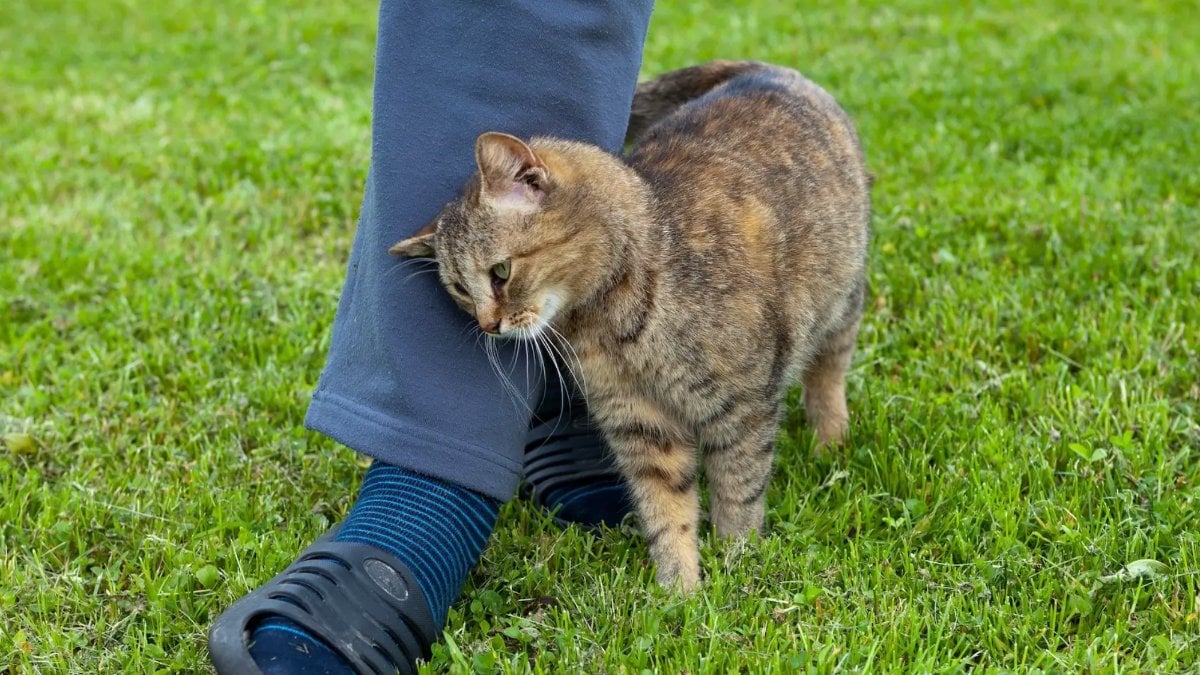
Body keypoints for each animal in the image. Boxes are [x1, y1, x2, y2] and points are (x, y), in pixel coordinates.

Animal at [393, 63, 873, 588]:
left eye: (500, 272)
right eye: (460, 290)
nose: (488, 325)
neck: (610, 325)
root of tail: (766, 69)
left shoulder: (742, 410)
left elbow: (739, 494)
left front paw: (738, 562)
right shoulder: (641, 425)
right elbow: (667, 509)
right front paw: (679, 588)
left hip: (843, 303)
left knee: (828, 373)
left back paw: (831, 441)